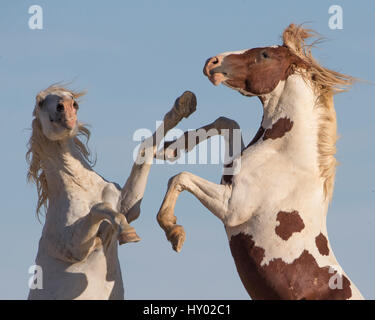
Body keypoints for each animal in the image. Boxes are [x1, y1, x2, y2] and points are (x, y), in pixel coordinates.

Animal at [157, 23, 366, 300]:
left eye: (265, 54)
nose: (211, 62)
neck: (284, 156)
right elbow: (227, 122)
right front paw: (170, 149)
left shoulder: (232, 207)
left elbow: (180, 177)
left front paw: (174, 232)